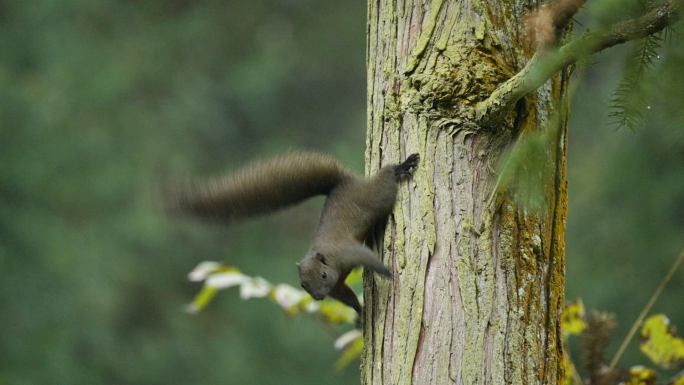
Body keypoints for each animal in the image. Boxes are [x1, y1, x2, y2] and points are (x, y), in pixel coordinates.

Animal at [168, 152, 420, 316]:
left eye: (323, 276)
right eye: (303, 286)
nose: (319, 297)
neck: (331, 261)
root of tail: (345, 183)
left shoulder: (347, 253)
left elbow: (367, 257)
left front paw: (385, 271)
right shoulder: (337, 287)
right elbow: (347, 296)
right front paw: (360, 314)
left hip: (376, 196)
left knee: (386, 178)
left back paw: (401, 166)